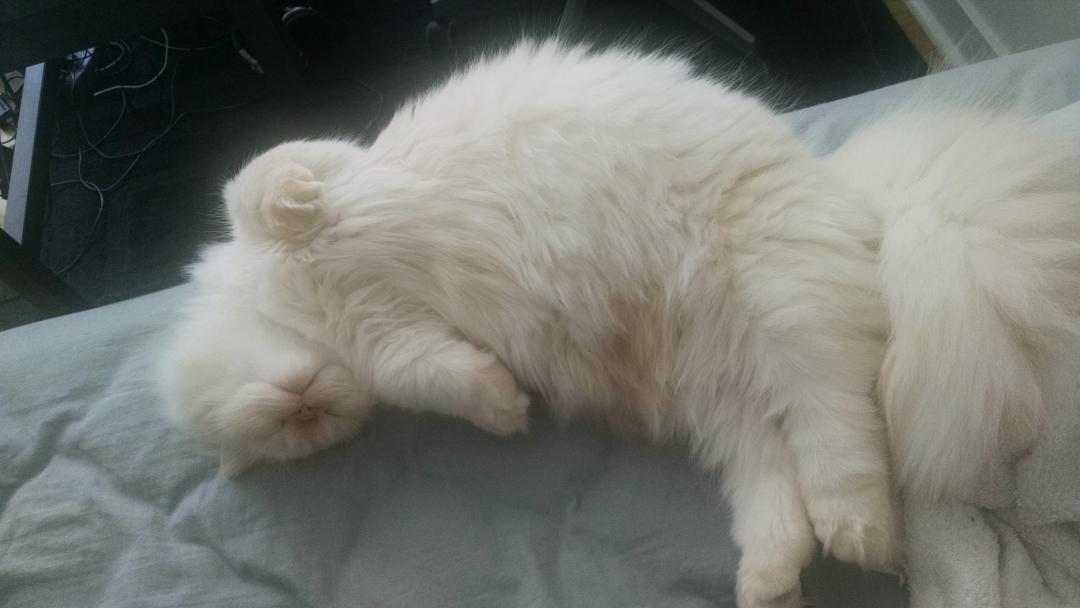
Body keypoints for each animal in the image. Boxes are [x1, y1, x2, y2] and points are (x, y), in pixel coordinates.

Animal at [157, 41, 1080, 608]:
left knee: (844, 432)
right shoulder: (395, 346)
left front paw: (293, 204)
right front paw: (506, 409)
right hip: (727, 401)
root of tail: (856, 200)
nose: (306, 404)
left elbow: (264, 177)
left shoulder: (323, 188)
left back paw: (859, 533)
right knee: (783, 487)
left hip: (780, 315)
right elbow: (446, 376)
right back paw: (771, 581)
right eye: (299, 431)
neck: (306, 312)